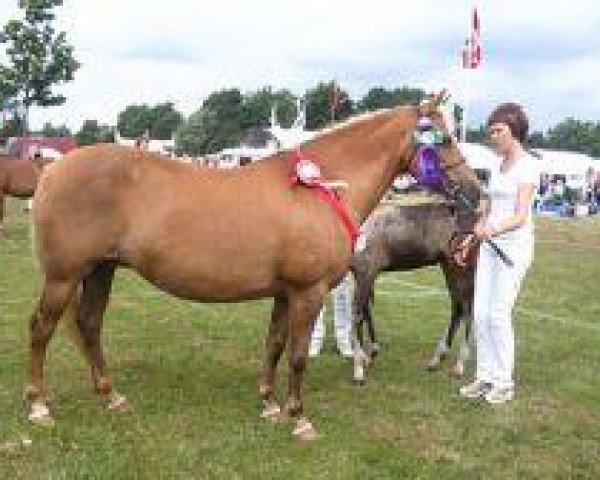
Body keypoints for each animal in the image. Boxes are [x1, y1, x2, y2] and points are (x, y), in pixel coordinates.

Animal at [350, 200, 476, 382]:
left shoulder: (365, 272)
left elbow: (358, 315)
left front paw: (359, 367)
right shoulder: (362, 275)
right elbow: (366, 311)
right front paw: (371, 353)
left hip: (460, 268)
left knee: (466, 308)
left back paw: (459, 365)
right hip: (448, 266)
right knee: (457, 306)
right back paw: (438, 357)